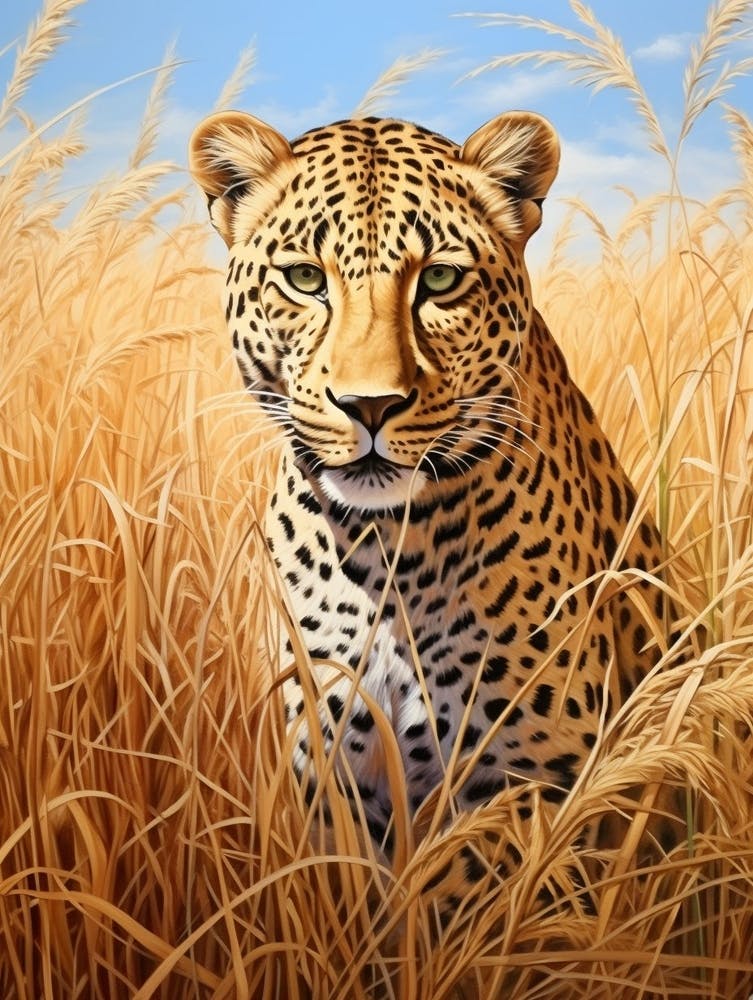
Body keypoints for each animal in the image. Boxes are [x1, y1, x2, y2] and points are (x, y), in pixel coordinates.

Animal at [189, 109, 671, 859]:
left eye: (440, 280)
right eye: (305, 278)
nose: (370, 405)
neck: (383, 552)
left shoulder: (529, 780)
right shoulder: (331, 773)